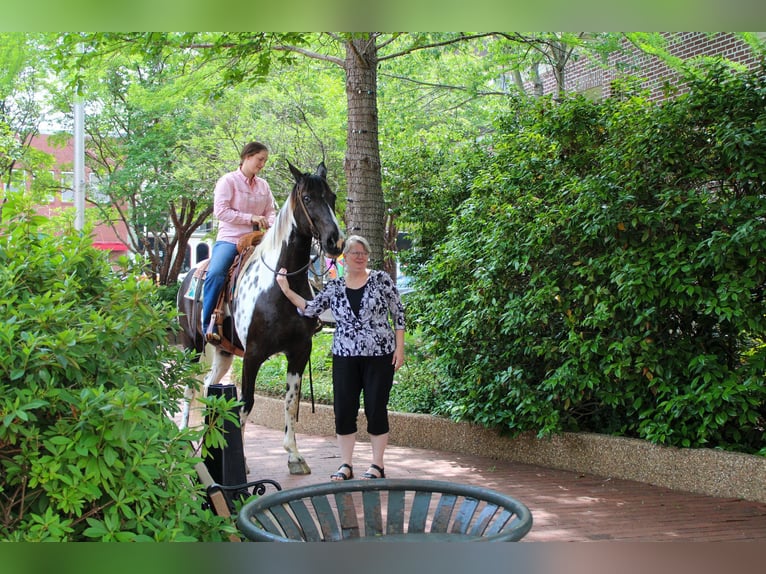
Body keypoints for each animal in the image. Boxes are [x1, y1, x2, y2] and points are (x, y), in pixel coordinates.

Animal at [177, 163, 344, 476]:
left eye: (332, 196)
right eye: (307, 198)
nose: (334, 242)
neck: (279, 285)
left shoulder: (299, 352)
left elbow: (291, 402)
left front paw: (294, 456)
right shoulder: (253, 354)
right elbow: (246, 403)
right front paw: (240, 462)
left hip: (223, 351)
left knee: (207, 387)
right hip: (191, 346)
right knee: (188, 388)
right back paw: (183, 440)